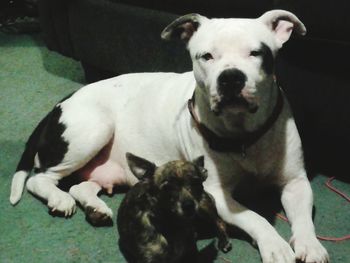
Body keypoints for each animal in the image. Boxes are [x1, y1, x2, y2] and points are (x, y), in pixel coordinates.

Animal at [10, 10, 328, 263]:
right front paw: (275, 245)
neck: (243, 135)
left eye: (257, 53)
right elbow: (255, 217)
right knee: (41, 179)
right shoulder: (216, 193)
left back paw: (94, 207)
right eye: (206, 56)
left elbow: (303, 219)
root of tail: (64, 100)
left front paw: (310, 246)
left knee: (81, 186)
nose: (231, 77)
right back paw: (59, 199)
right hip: (93, 130)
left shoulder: (296, 183)